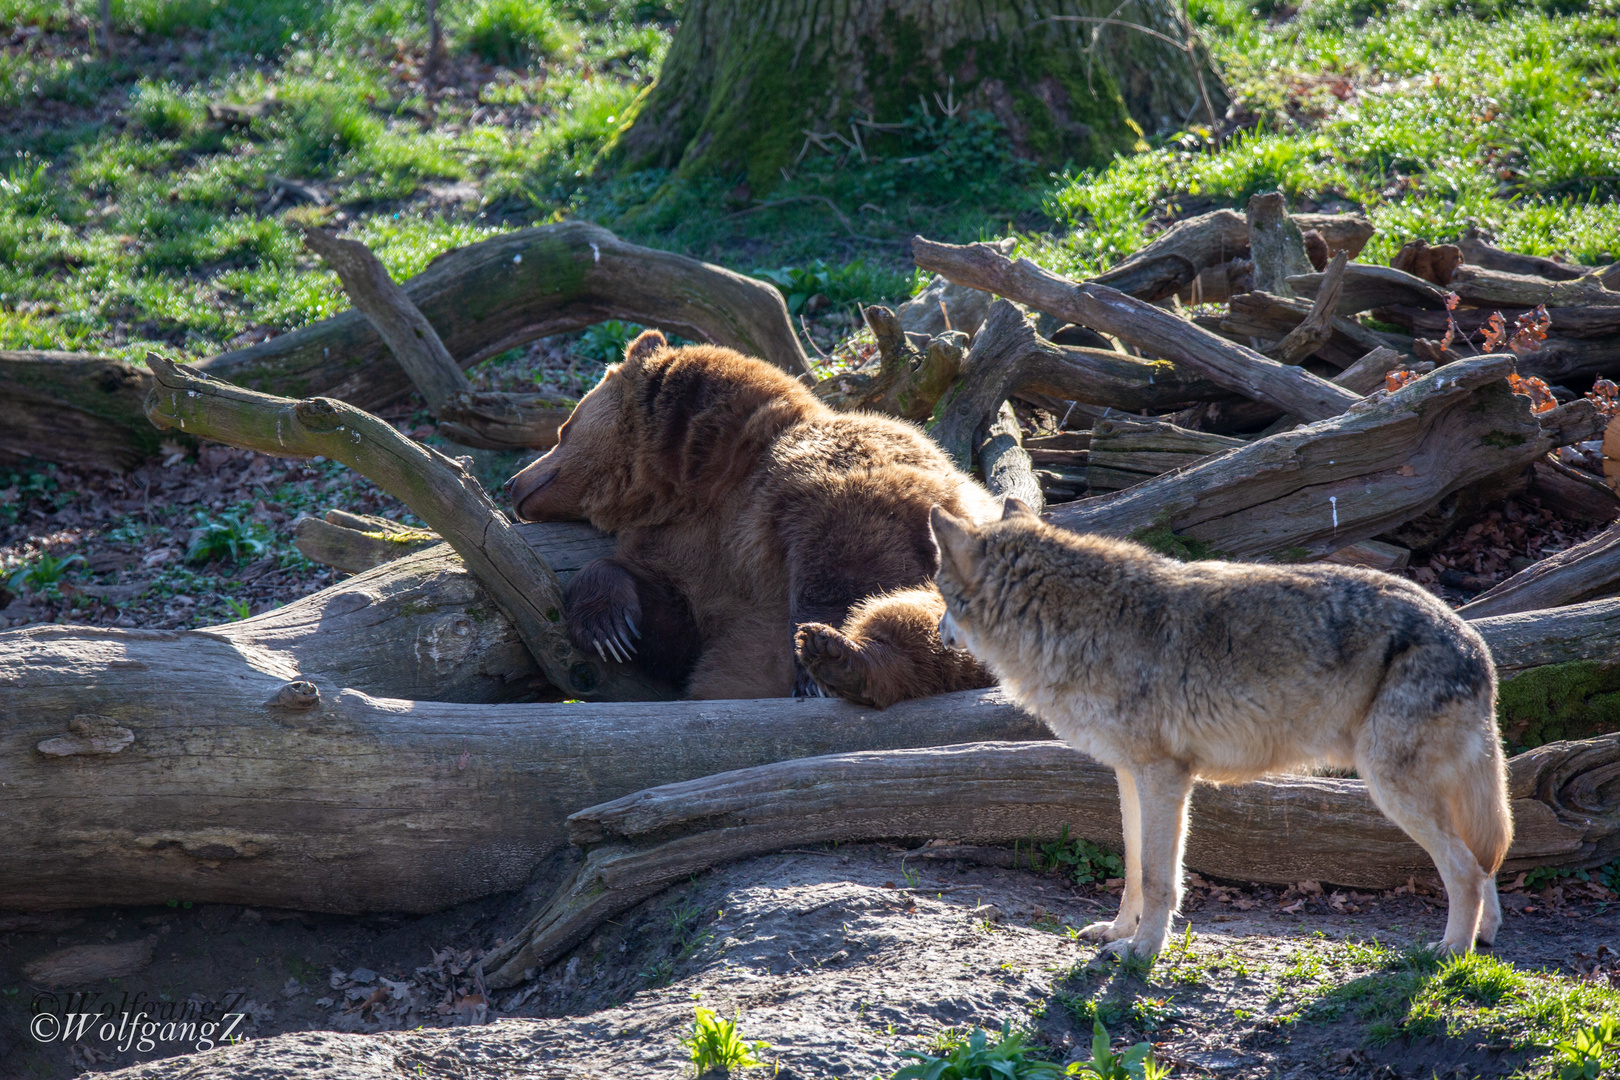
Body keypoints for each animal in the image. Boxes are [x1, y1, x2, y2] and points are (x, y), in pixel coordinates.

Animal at [508, 330, 997, 709]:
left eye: (563, 429)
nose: (513, 482)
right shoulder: (695, 550)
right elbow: (675, 625)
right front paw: (609, 628)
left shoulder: (831, 485)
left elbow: (848, 570)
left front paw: (810, 662)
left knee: (920, 619)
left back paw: (842, 658)